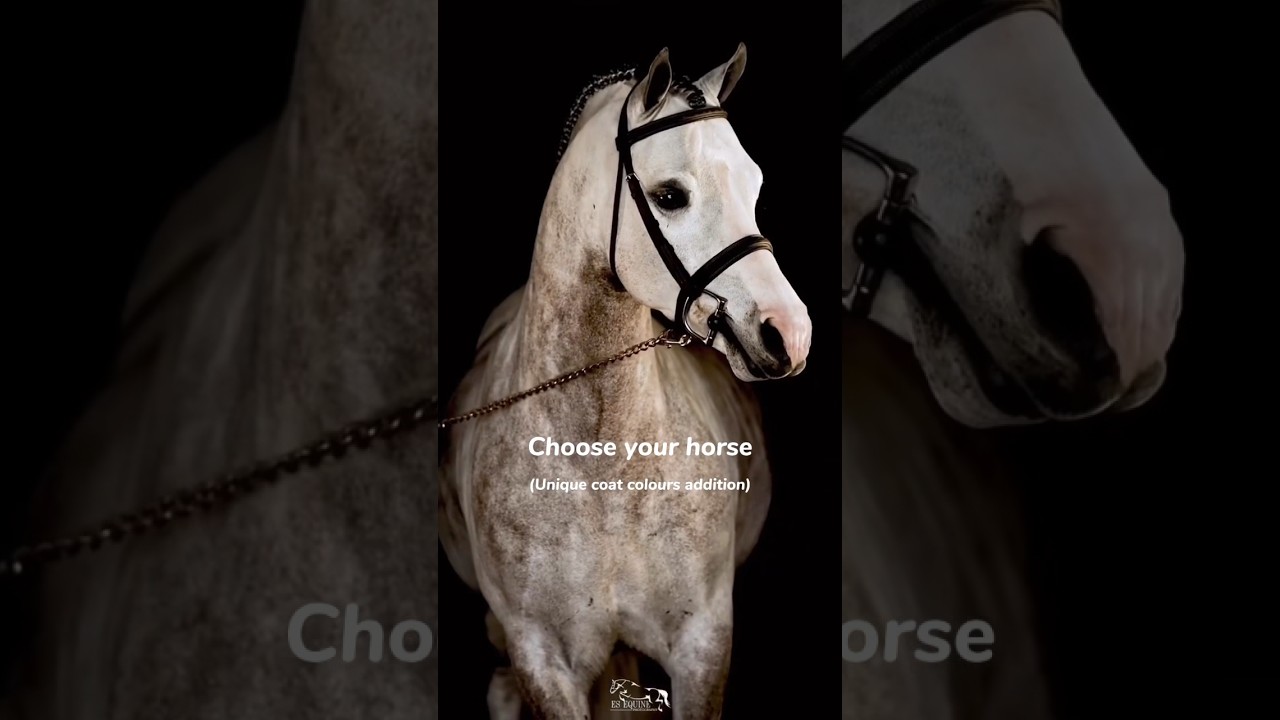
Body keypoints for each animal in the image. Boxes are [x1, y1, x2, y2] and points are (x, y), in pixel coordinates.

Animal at [440, 44, 812, 720]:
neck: (603, 466)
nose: (790, 335)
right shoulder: (542, 657)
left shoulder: (702, 643)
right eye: (670, 195)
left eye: (754, 186)